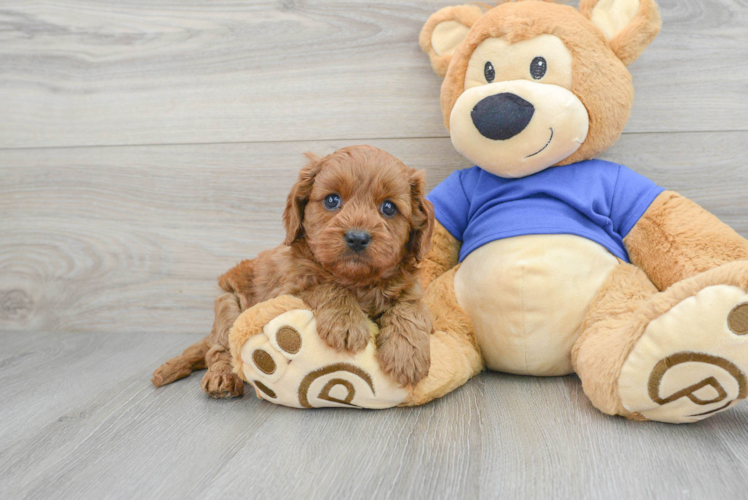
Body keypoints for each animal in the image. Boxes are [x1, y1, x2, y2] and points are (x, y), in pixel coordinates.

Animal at [152, 146, 432, 398]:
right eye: (332, 200)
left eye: (388, 207)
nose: (357, 238)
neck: (355, 280)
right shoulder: (288, 289)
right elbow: (326, 286)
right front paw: (346, 322)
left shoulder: (408, 289)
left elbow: (409, 310)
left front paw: (407, 355)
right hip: (228, 304)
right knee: (218, 350)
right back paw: (221, 378)